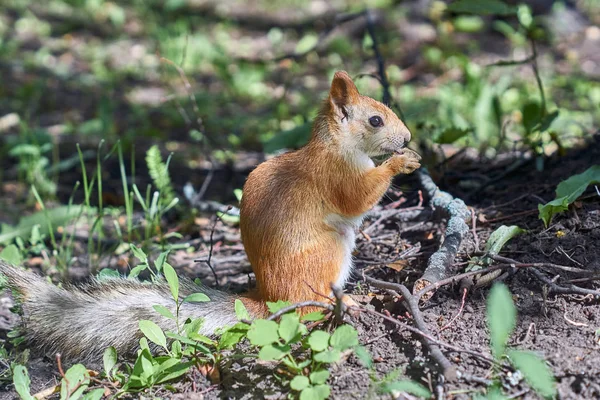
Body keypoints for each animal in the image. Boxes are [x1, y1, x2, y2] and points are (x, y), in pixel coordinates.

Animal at [0, 71, 422, 362]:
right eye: (375, 120)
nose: (407, 138)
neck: (336, 145)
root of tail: (270, 299)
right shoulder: (336, 175)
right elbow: (357, 199)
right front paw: (399, 163)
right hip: (329, 253)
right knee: (308, 308)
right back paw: (347, 302)